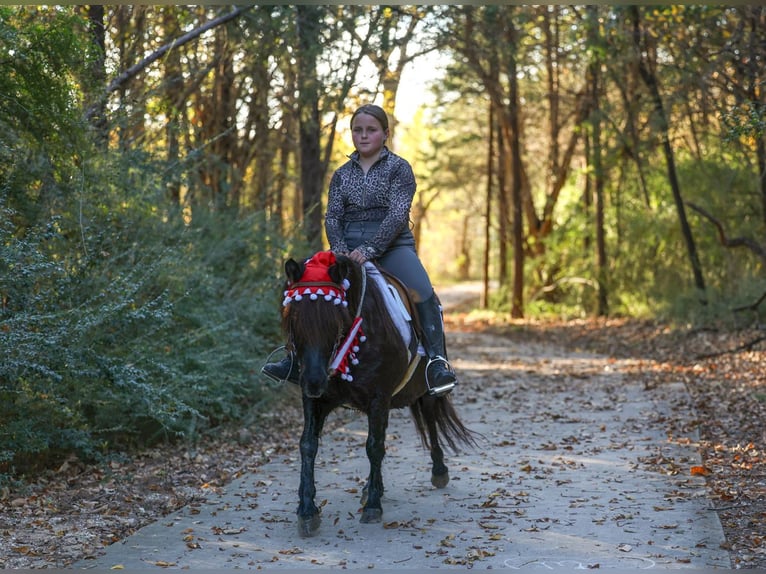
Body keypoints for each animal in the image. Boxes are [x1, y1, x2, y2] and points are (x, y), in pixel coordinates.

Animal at [277, 250, 476, 537]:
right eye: (293, 318)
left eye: (335, 319)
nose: (314, 381)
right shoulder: (316, 401)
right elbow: (308, 445)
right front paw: (307, 511)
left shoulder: (378, 397)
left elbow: (374, 447)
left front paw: (372, 506)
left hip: (423, 392)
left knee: (429, 421)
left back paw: (438, 472)